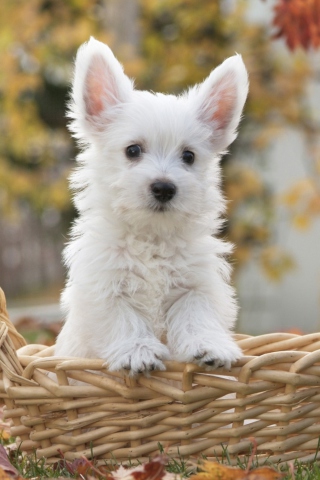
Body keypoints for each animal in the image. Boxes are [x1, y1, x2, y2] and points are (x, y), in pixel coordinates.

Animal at [55, 36, 249, 376]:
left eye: (189, 156)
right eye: (133, 150)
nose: (164, 187)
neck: (152, 236)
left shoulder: (196, 285)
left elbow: (196, 315)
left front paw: (210, 347)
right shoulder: (105, 287)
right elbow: (125, 320)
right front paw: (138, 352)